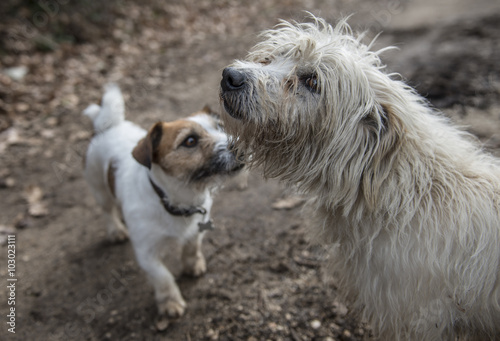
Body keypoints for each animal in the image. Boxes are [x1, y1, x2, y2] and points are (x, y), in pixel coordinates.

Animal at [83, 85, 243, 322]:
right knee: (107, 210)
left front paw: (193, 265)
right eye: (190, 141)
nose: (241, 146)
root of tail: (109, 125)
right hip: (98, 188)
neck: (177, 199)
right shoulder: (146, 254)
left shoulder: (197, 230)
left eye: (221, 126)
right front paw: (170, 302)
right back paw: (115, 230)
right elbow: (163, 277)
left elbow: (191, 248)